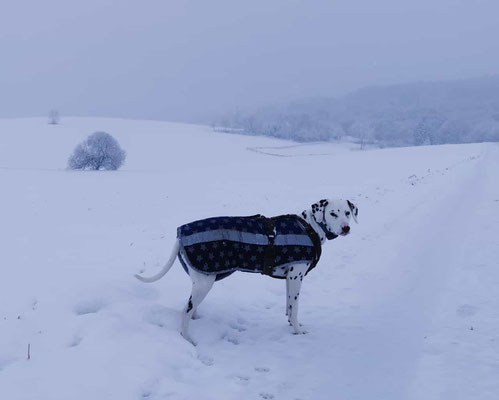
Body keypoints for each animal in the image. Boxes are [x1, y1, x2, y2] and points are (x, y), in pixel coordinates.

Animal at [135, 197, 358, 344]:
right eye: (333, 213)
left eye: (347, 213)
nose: (346, 228)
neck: (309, 227)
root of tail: (180, 235)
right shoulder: (296, 277)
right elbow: (295, 310)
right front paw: (297, 330)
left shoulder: (290, 278)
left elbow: (289, 306)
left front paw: (289, 323)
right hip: (204, 284)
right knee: (184, 312)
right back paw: (188, 338)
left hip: (201, 281)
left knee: (191, 309)